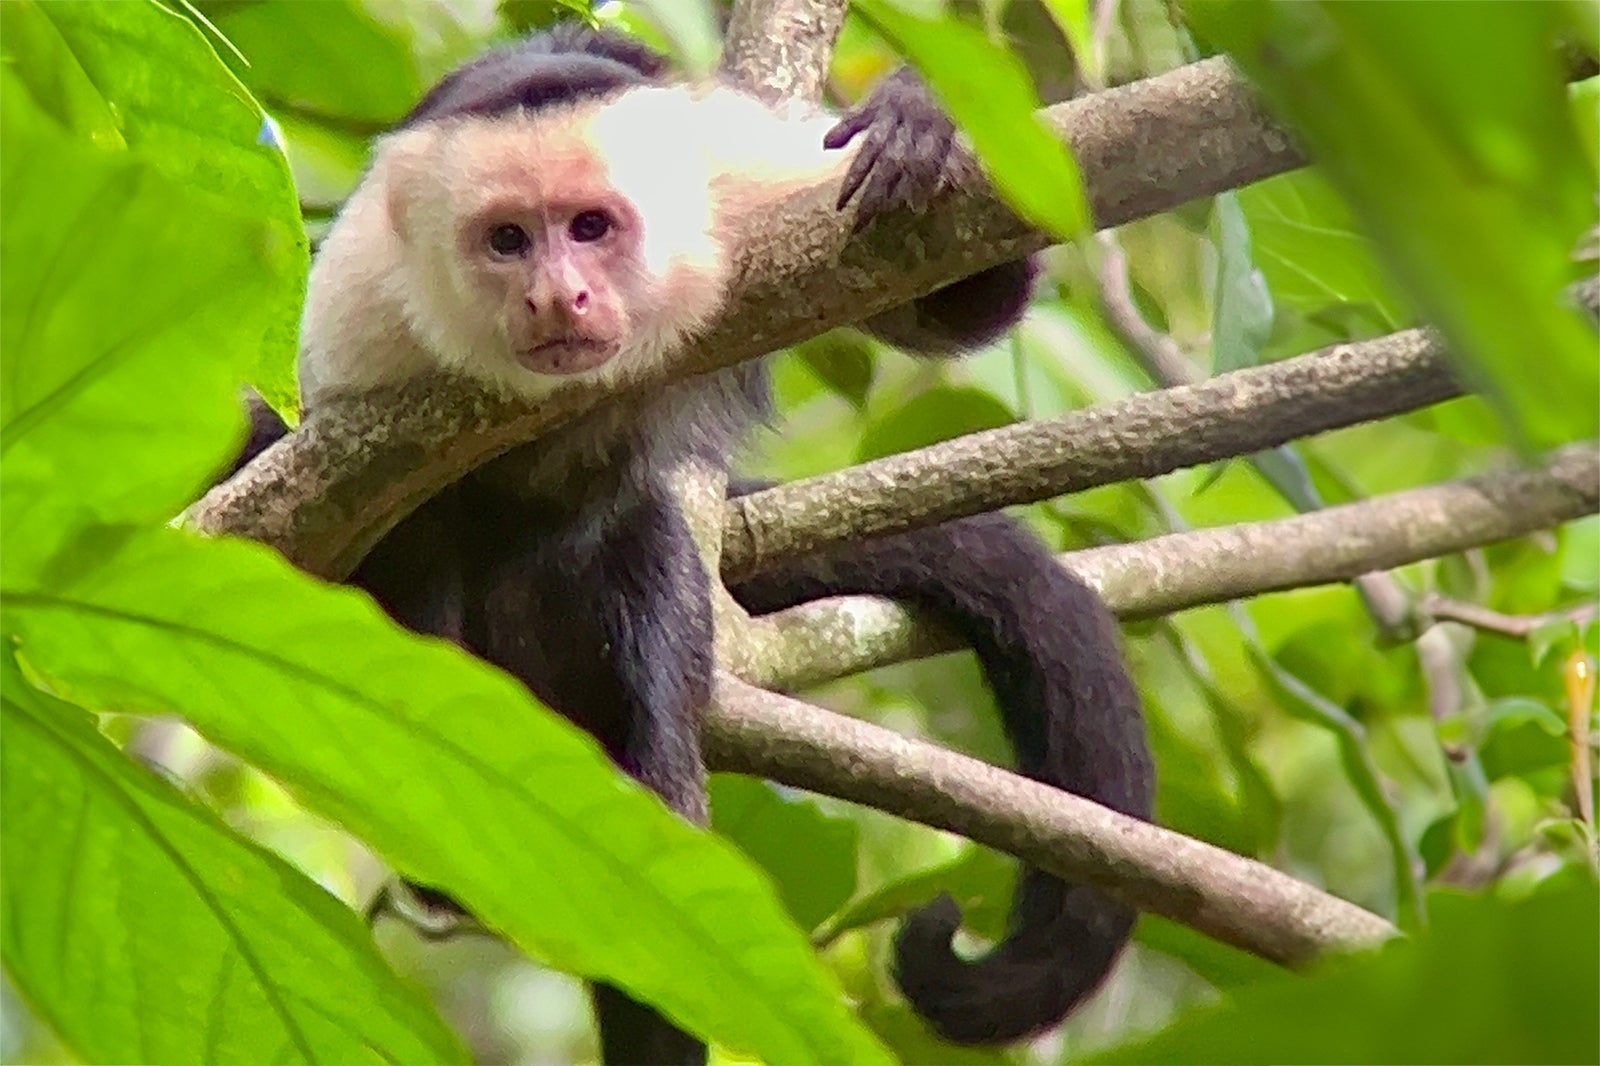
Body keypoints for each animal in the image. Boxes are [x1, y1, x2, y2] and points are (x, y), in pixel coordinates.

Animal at [226, 22, 1153, 1064]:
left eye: (590, 227)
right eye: (507, 240)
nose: (557, 297)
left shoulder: (749, 184)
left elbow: (950, 296)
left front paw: (925, 118)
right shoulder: (360, 307)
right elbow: (292, 481)